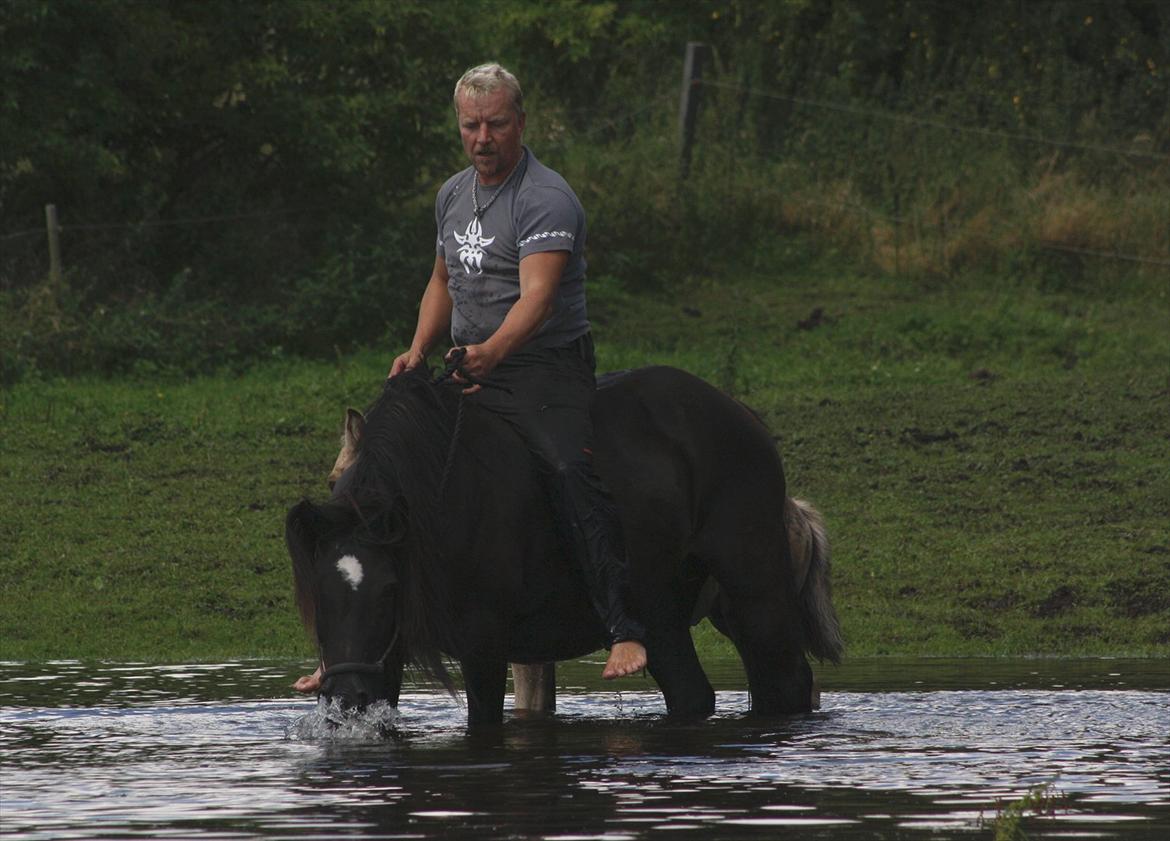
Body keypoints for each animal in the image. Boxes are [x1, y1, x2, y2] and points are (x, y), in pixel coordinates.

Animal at [287, 364, 847, 725]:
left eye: (388, 589)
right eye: (318, 592)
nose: (345, 699)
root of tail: (745, 419)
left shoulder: (486, 646)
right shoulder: (388, 653)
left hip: (756, 595)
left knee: (786, 685)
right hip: (665, 614)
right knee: (696, 694)